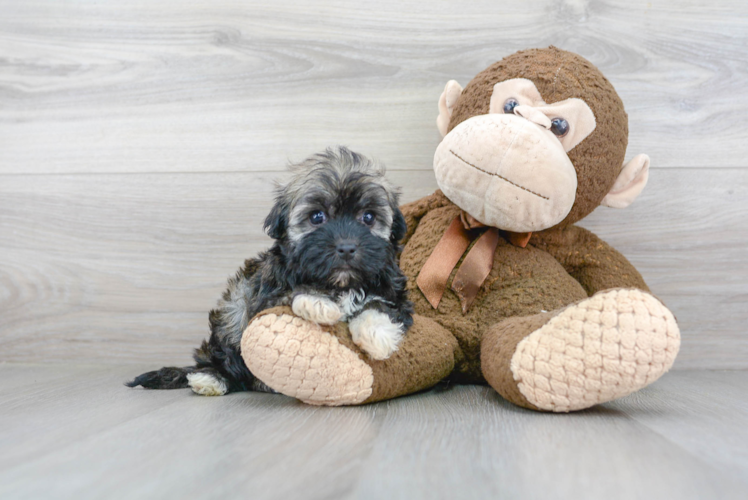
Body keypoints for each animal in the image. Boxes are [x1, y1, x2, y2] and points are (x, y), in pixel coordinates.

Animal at [125, 146, 412, 396]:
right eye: (317, 217)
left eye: (368, 217)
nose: (346, 247)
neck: (340, 283)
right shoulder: (265, 297)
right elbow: (291, 292)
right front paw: (317, 301)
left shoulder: (394, 291)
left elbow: (380, 305)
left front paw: (377, 336)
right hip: (234, 309)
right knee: (223, 356)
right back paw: (211, 379)